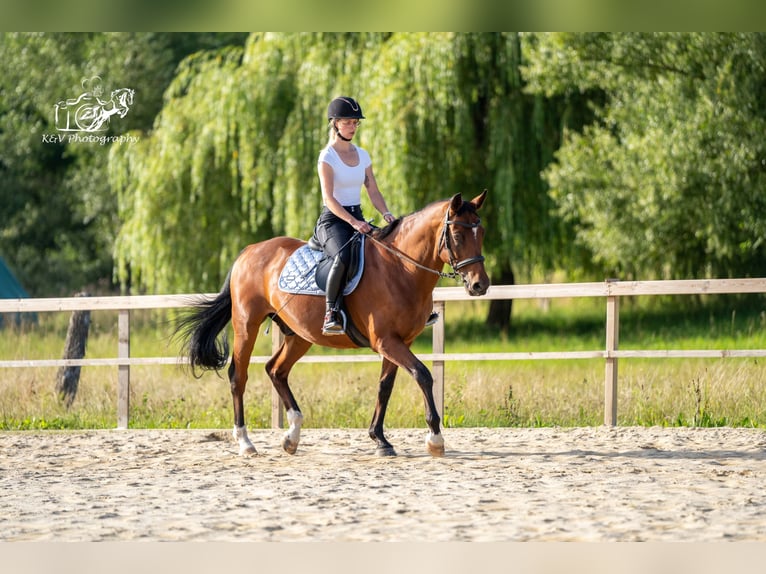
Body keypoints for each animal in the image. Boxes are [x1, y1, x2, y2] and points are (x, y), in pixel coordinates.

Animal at [178, 192, 492, 460]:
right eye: (457, 235)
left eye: (482, 233)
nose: (480, 285)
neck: (400, 269)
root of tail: (250, 250)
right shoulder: (386, 341)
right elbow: (423, 375)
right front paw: (435, 439)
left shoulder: (400, 341)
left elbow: (385, 386)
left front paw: (380, 439)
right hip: (247, 325)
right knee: (238, 376)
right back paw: (246, 442)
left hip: (299, 334)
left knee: (276, 370)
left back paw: (292, 436)